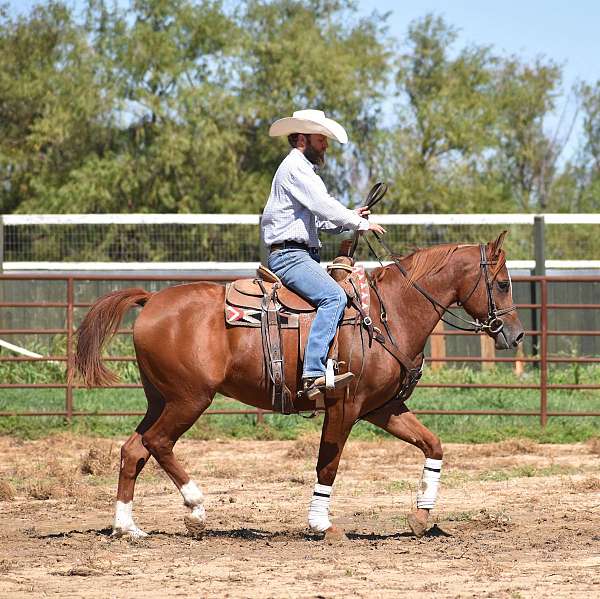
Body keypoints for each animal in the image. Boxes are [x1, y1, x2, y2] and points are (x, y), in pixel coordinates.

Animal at [74, 233, 524, 540]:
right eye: (502, 283)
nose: (516, 335)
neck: (387, 313)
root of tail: (151, 300)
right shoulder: (345, 407)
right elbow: (328, 464)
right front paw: (321, 524)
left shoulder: (383, 408)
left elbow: (432, 445)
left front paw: (422, 515)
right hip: (190, 398)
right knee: (158, 443)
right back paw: (197, 509)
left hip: (160, 398)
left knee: (134, 449)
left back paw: (127, 527)